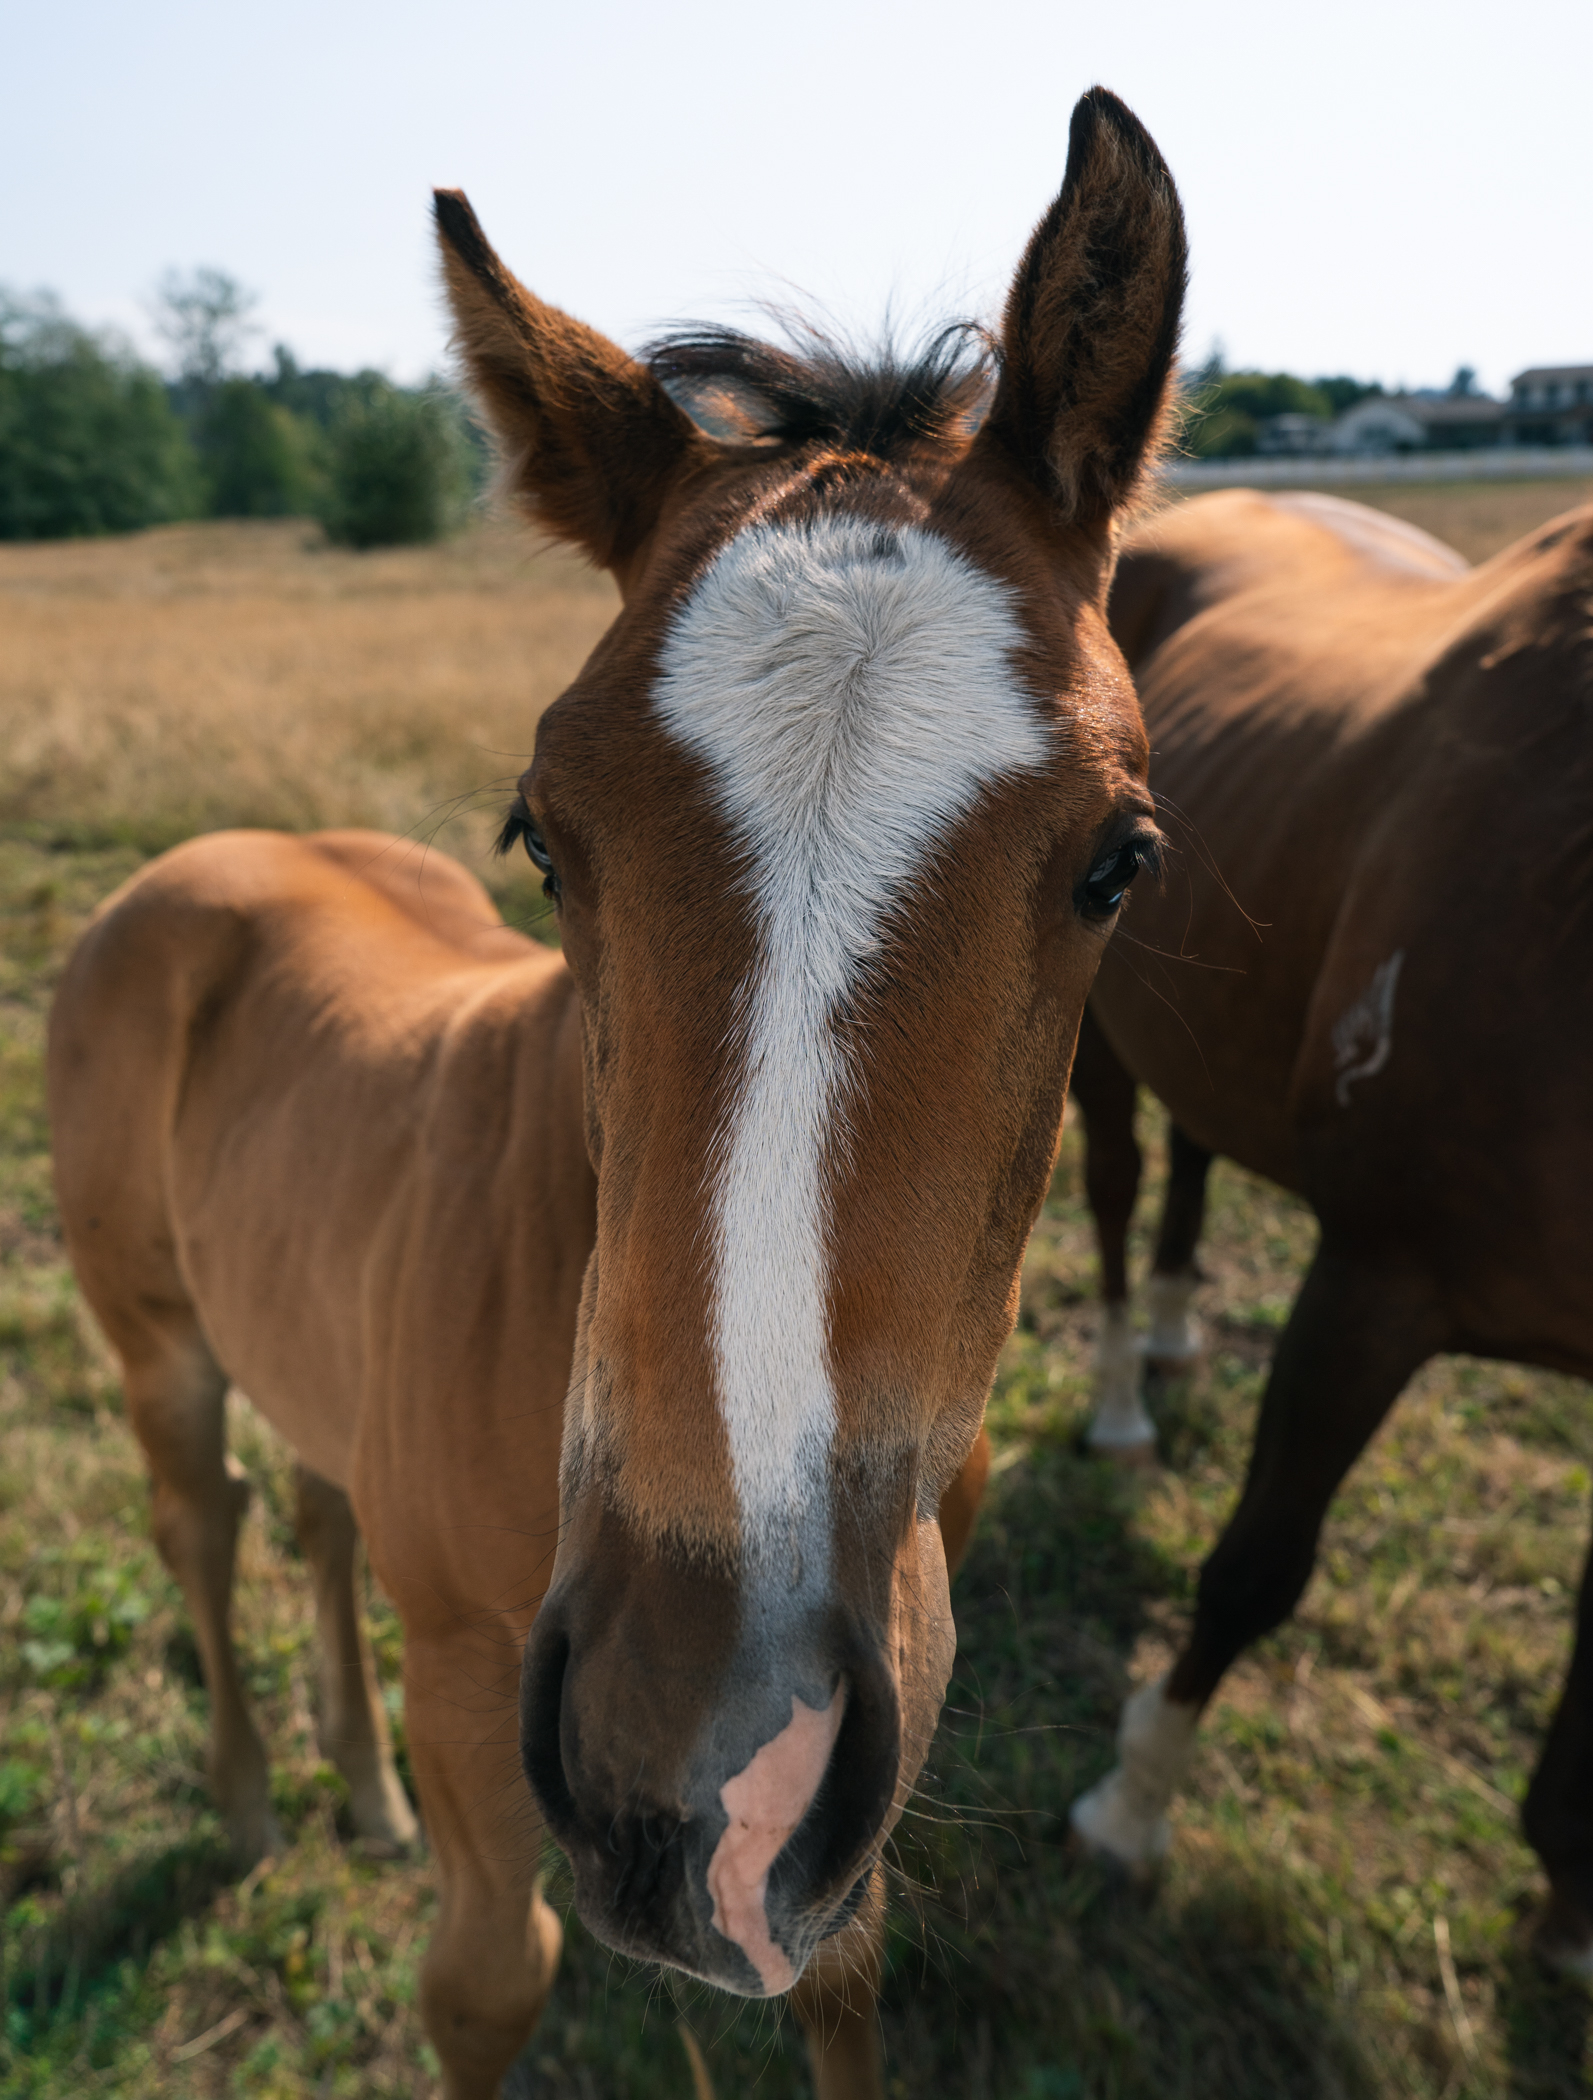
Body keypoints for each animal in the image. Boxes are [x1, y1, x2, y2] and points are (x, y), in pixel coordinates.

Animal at [47, 88, 1188, 2097]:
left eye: (1117, 863)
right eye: (541, 836)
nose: (701, 1764)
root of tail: (203, 865)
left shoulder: (871, 1763)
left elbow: (842, 1982)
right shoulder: (475, 1680)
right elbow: (483, 1989)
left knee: (314, 1501)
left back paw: (356, 1800)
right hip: (152, 1342)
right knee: (207, 1515)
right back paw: (261, 1805)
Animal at [1058, 486, 1593, 1977]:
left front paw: (1568, 1902)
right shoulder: (1372, 1282)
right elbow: (1255, 1572)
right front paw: (1130, 1810)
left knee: (1192, 1159)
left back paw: (1177, 1342)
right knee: (1119, 1190)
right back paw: (1124, 1401)